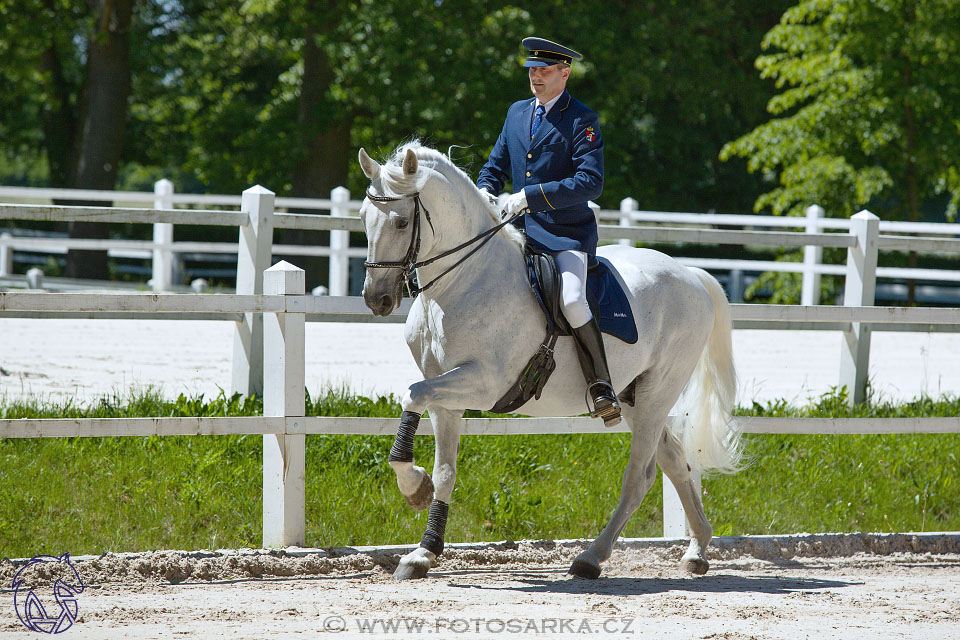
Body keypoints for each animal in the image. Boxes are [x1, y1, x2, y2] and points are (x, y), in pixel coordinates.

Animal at [356, 141, 740, 580]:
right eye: (364, 218)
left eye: (402, 222)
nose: (377, 299)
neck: (463, 281)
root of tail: (691, 274)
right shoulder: (445, 397)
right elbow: (444, 470)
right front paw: (423, 549)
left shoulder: (483, 384)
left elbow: (412, 394)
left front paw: (413, 488)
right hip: (634, 396)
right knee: (675, 461)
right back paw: (698, 549)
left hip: (658, 393)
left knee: (640, 476)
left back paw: (592, 557)